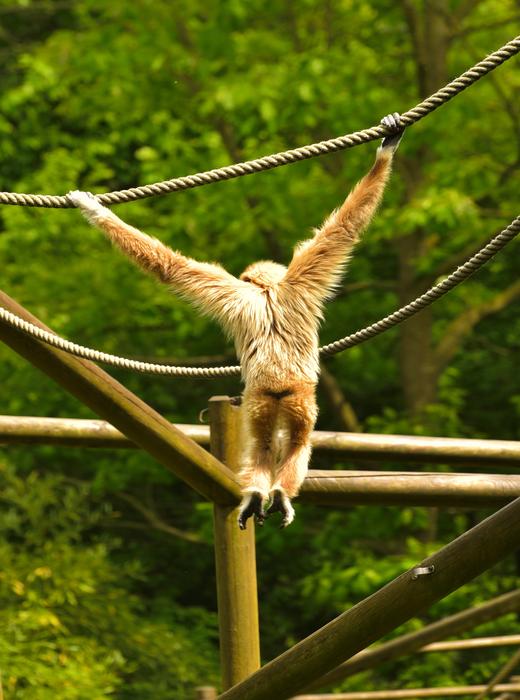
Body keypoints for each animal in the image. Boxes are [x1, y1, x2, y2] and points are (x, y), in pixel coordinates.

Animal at [68, 113, 405, 530]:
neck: (268, 293)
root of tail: (278, 385)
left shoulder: (258, 290)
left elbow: (171, 267)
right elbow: (345, 227)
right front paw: (386, 149)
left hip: (271, 401)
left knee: (273, 444)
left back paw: (266, 493)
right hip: (289, 401)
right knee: (290, 445)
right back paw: (272, 493)